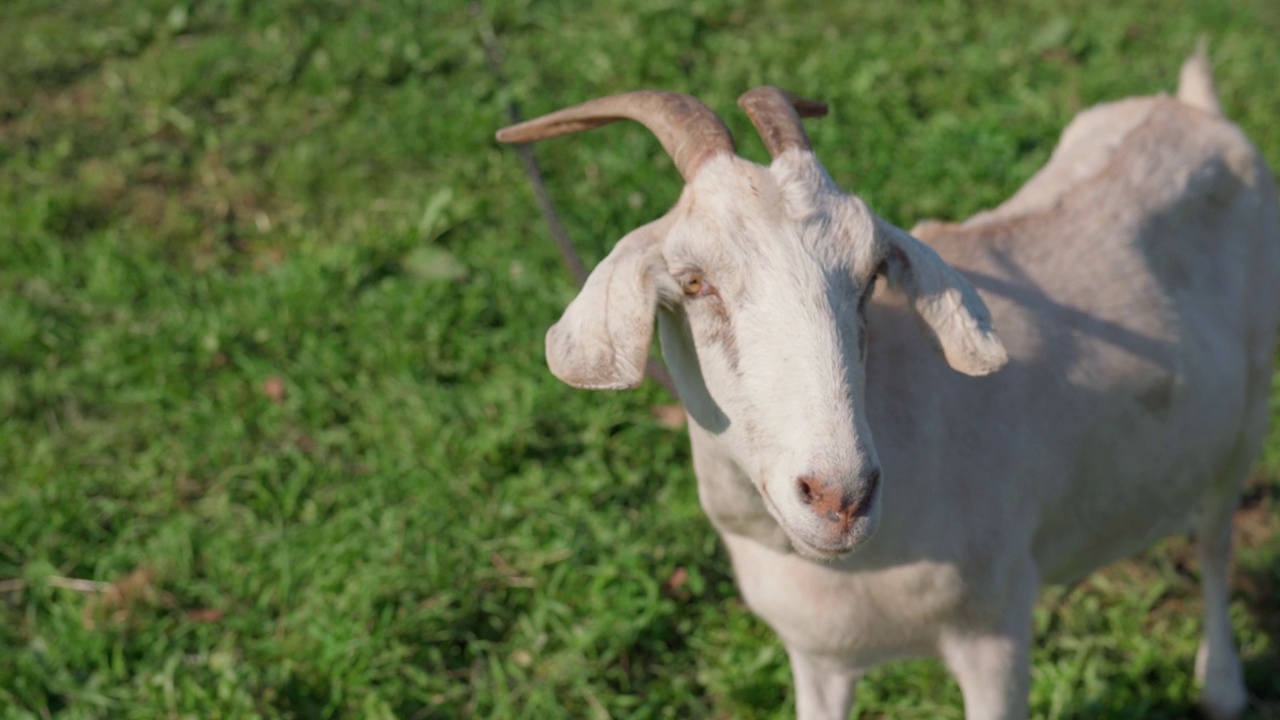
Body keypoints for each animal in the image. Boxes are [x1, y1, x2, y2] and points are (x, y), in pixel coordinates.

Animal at [496, 47, 1280, 712]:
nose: (839, 497)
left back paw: (1221, 686)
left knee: (1215, 538)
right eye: (692, 282)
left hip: (1245, 417)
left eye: (872, 275)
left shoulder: (995, 633)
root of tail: (1194, 107)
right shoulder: (817, 657)